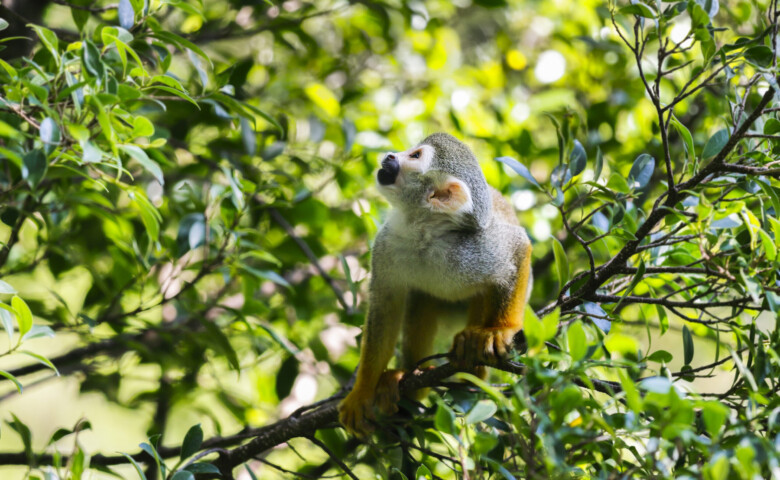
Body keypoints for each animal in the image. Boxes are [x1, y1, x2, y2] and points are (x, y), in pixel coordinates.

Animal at [338, 133, 533, 436]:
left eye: (415, 156)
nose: (391, 156)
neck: (424, 232)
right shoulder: (386, 243)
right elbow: (385, 308)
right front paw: (362, 392)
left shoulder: (472, 247)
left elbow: (518, 246)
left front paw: (501, 330)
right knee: (421, 300)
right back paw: (410, 379)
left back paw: (472, 359)